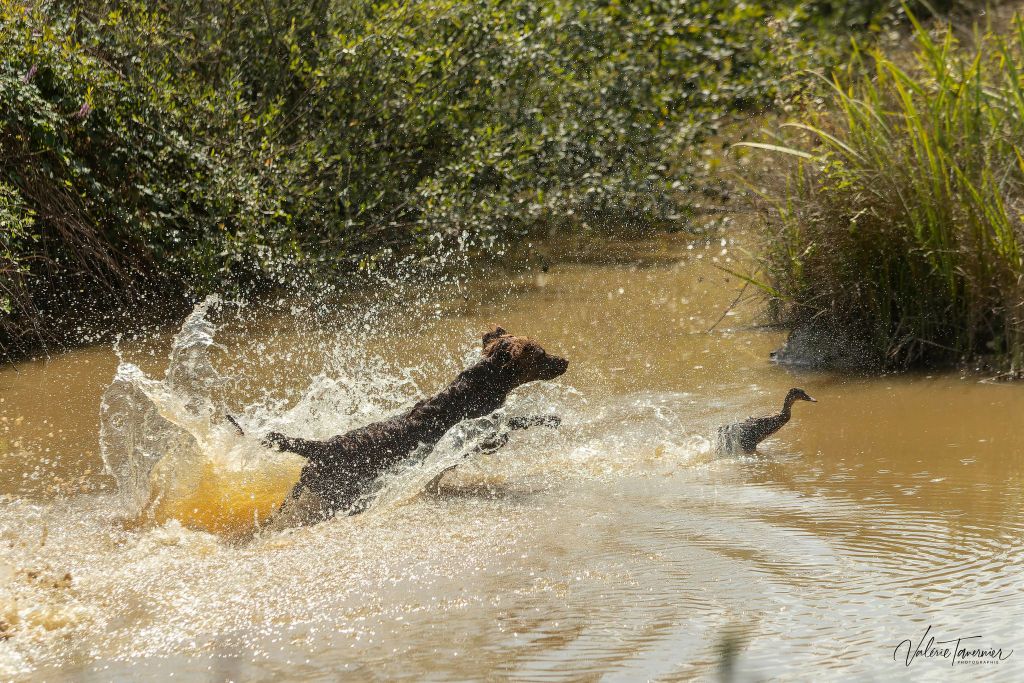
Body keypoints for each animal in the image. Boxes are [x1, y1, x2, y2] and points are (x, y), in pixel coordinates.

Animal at [232, 327, 569, 518]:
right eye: (539, 353)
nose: (565, 360)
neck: (477, 388)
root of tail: (321, 447)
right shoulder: (484, 436)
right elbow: (515, 420)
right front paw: (550, 417)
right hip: (342, 494)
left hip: (302, 490)